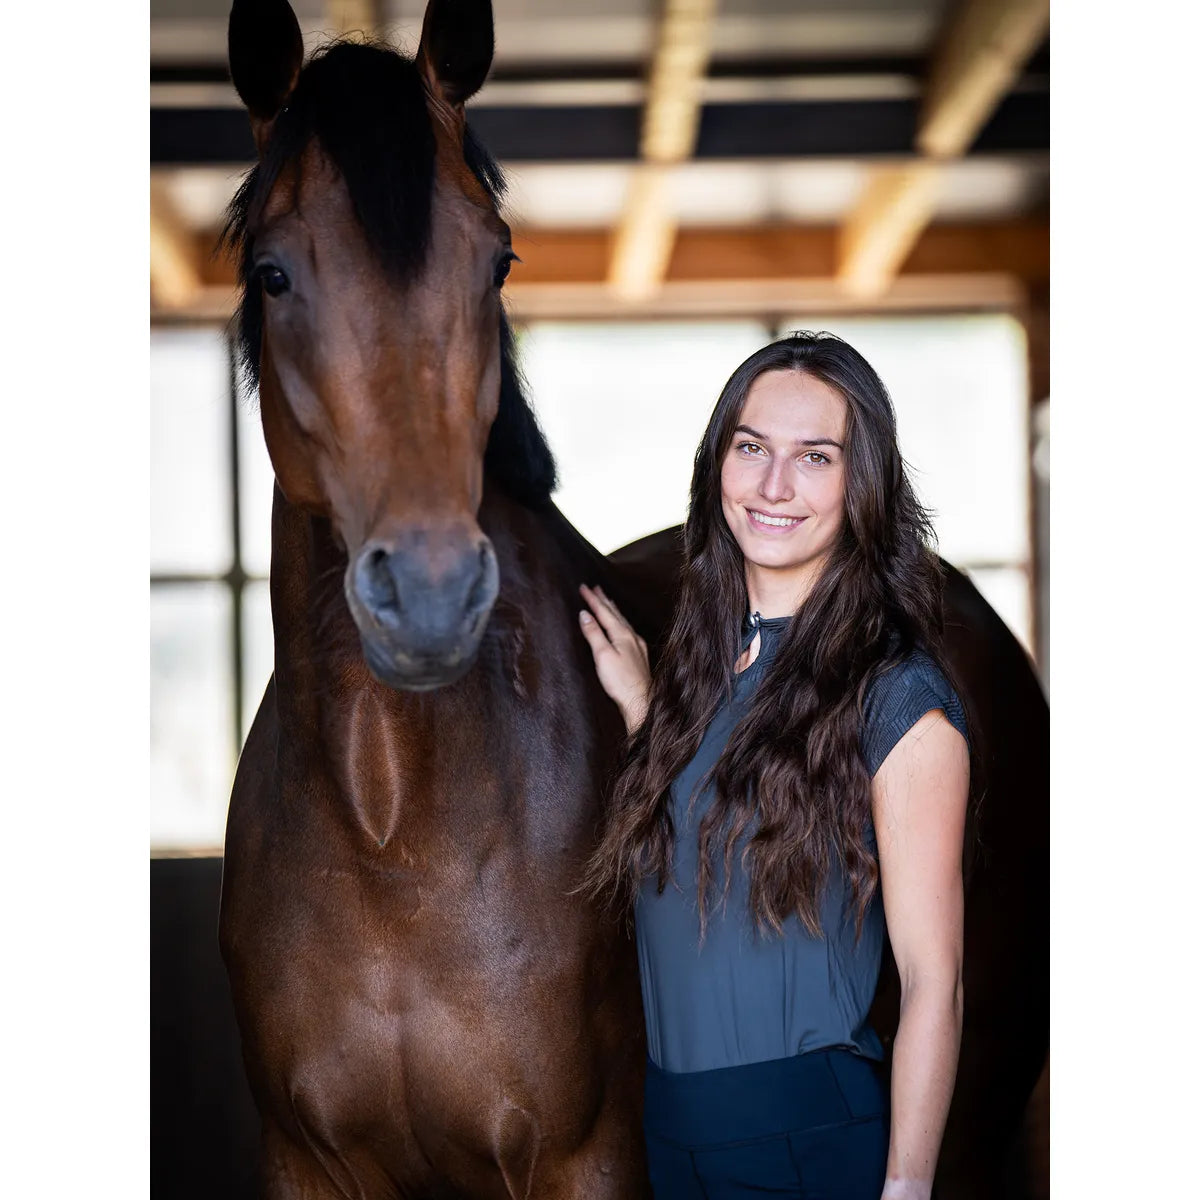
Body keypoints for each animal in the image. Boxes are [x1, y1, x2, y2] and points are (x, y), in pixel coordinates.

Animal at [219, 1, 652, 1195]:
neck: (393, 831)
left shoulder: (587, 1159)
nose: (429, 591)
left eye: (497, 263)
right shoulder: (302, 1163)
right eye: (273, 274)